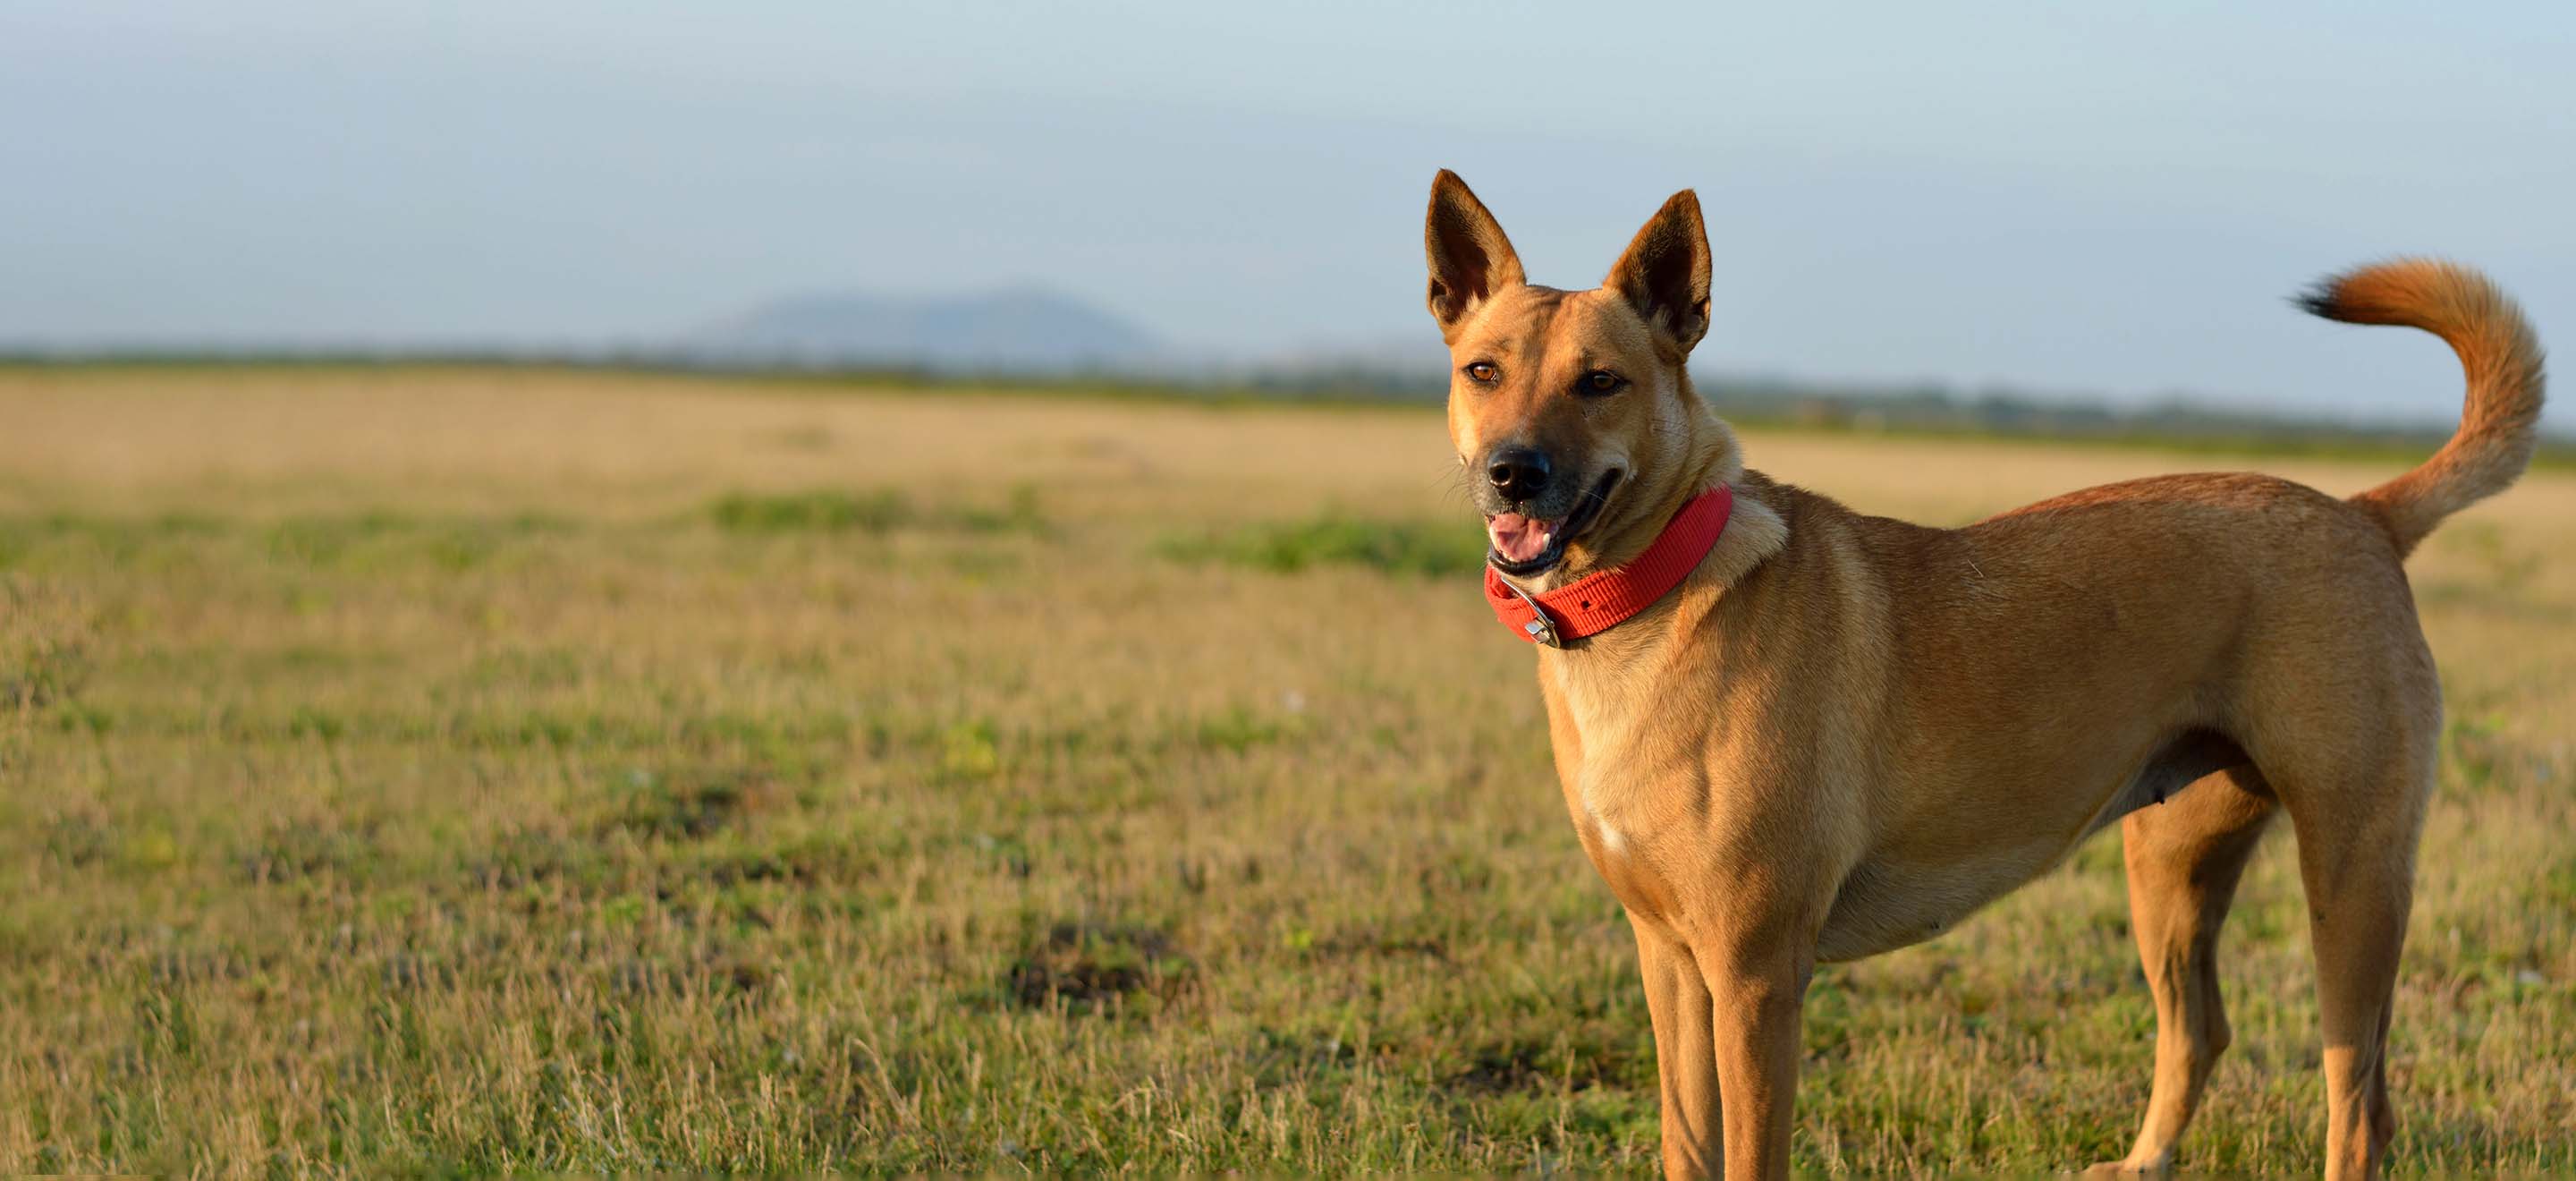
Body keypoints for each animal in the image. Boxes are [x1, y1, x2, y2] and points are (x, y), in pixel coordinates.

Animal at [1421, 168, 2545, 1181]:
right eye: (1483, 372)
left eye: (1600, 381)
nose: (1512, 472)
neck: (1650, 601)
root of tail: (2364, 514)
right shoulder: (1671, 963)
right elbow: (1686, 1146)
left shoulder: (1755, 975)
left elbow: (1748, 1154)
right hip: (2171, 872)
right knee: (2200, 1033)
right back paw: (2140, 1163)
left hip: (2353, 878)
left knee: (2359, 1104)